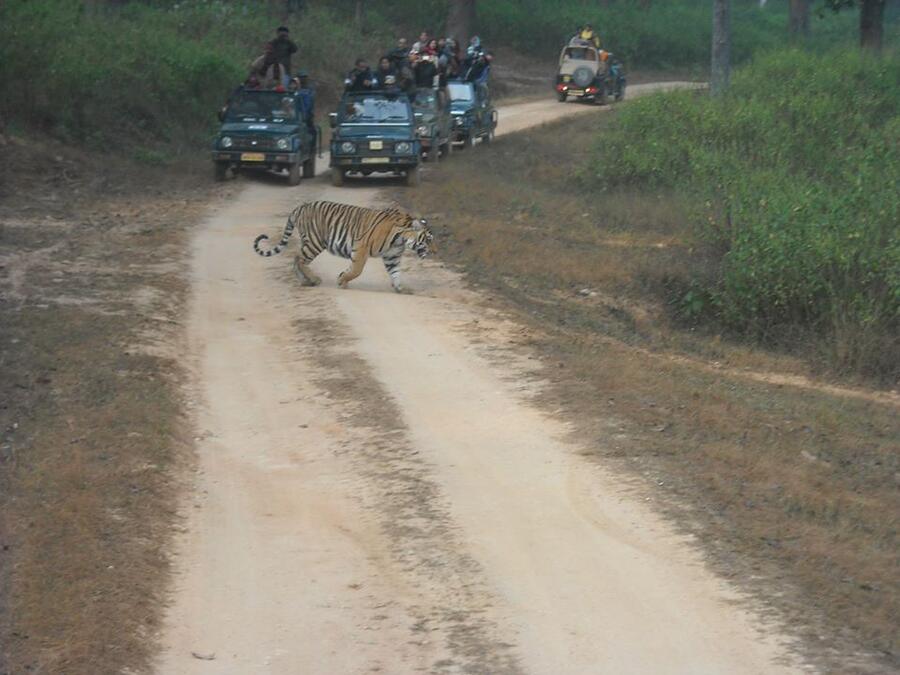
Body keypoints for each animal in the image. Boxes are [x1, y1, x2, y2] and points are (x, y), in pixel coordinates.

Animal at [252, 200, 435, 294]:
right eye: (428, 240)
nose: (435, 252)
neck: (401, 239)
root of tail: (300, 207)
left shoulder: (392, 256)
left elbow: (396, 273)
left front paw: (401, 288)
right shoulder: (361, 247)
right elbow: (356, 270)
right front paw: (342, 280)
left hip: (309, 242)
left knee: (296, 258)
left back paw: (305, 280)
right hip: (315, 241)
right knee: (299, 258)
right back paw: (314, 279)